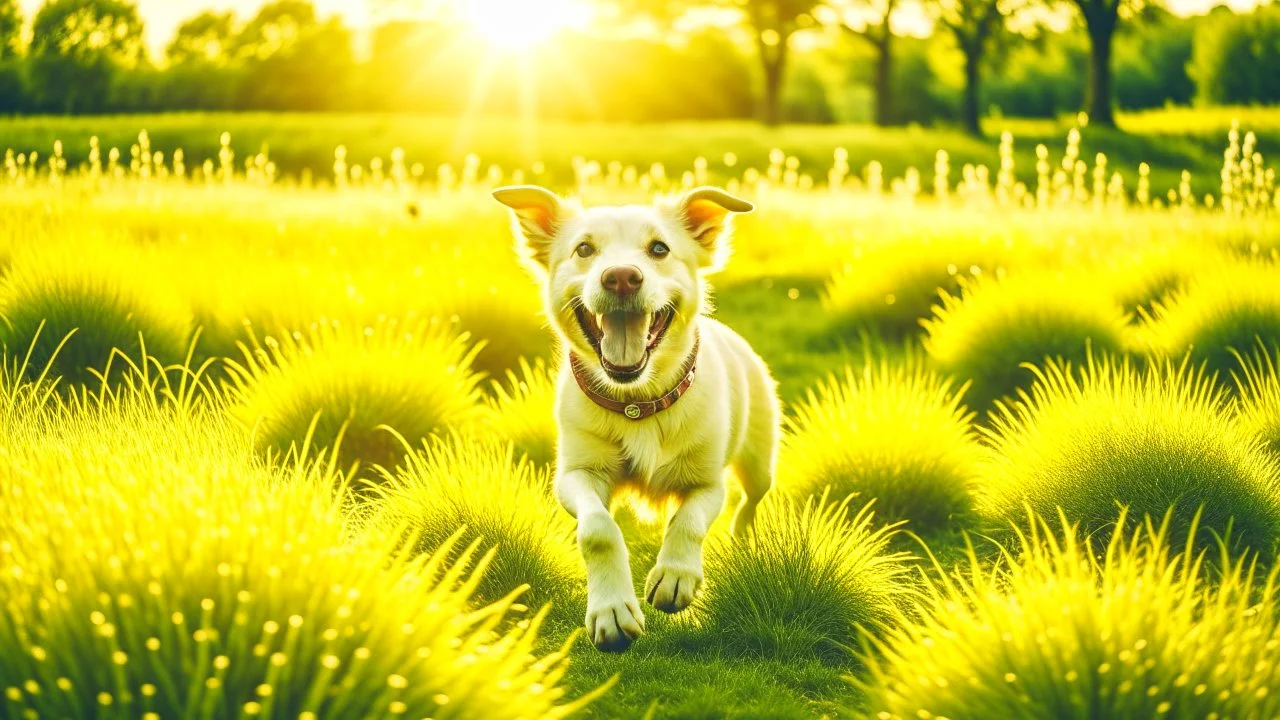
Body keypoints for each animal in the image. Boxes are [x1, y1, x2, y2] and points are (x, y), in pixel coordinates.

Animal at [491, 184, 778, 650]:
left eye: (659, 248)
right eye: (584, 249)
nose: (622, 277)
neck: (636, 400)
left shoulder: (707, 483)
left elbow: (688, 520)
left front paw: (676, 576)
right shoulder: (576, 475)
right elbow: (599, 529)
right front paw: (611, 609)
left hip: (758, 464)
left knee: (750, 501)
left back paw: (742, 536)